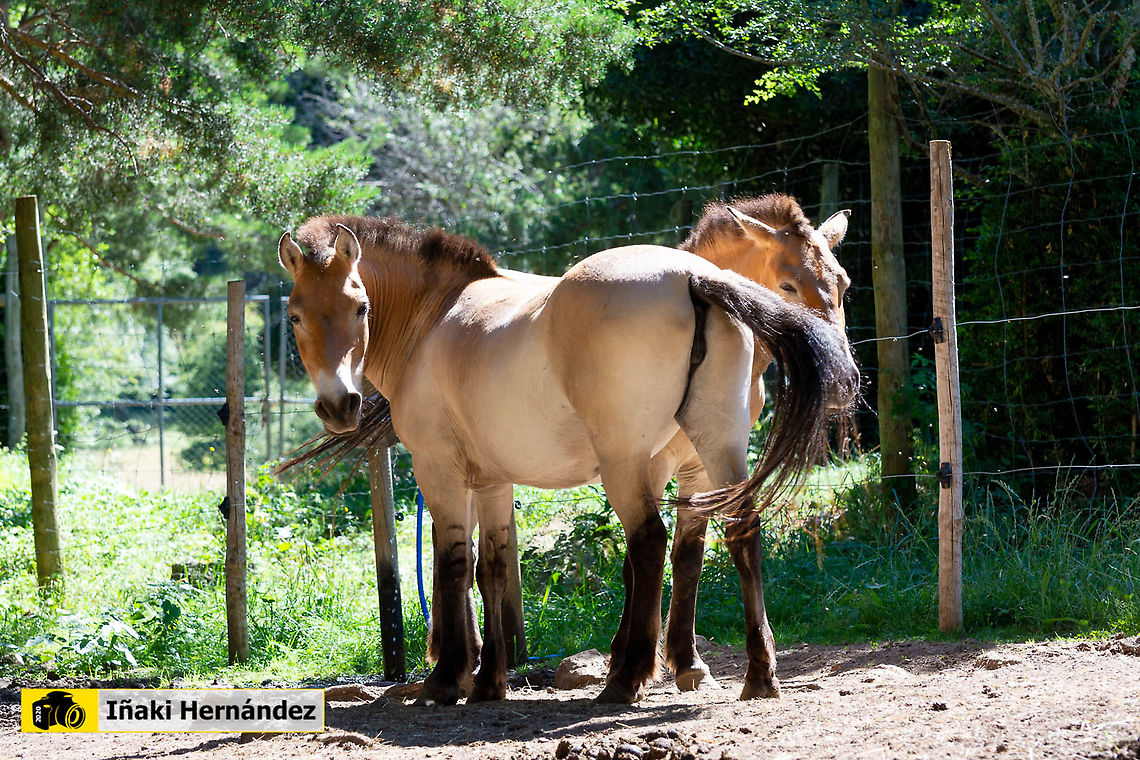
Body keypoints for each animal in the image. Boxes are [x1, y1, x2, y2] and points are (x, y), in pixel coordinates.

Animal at [277, 214, 859, 705]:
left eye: (360, 308)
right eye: (296, 315)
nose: (339, 405)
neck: (436, 317)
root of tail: (693, 277)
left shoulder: (440, 471)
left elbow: (453, 565)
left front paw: (447, 680)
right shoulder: (491, 482)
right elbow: (491, 569)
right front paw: (487, 682)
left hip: (626, 461)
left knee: (649, 542)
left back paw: (625, 681)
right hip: (719, 449)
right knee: (742, 530)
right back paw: (759, 676)